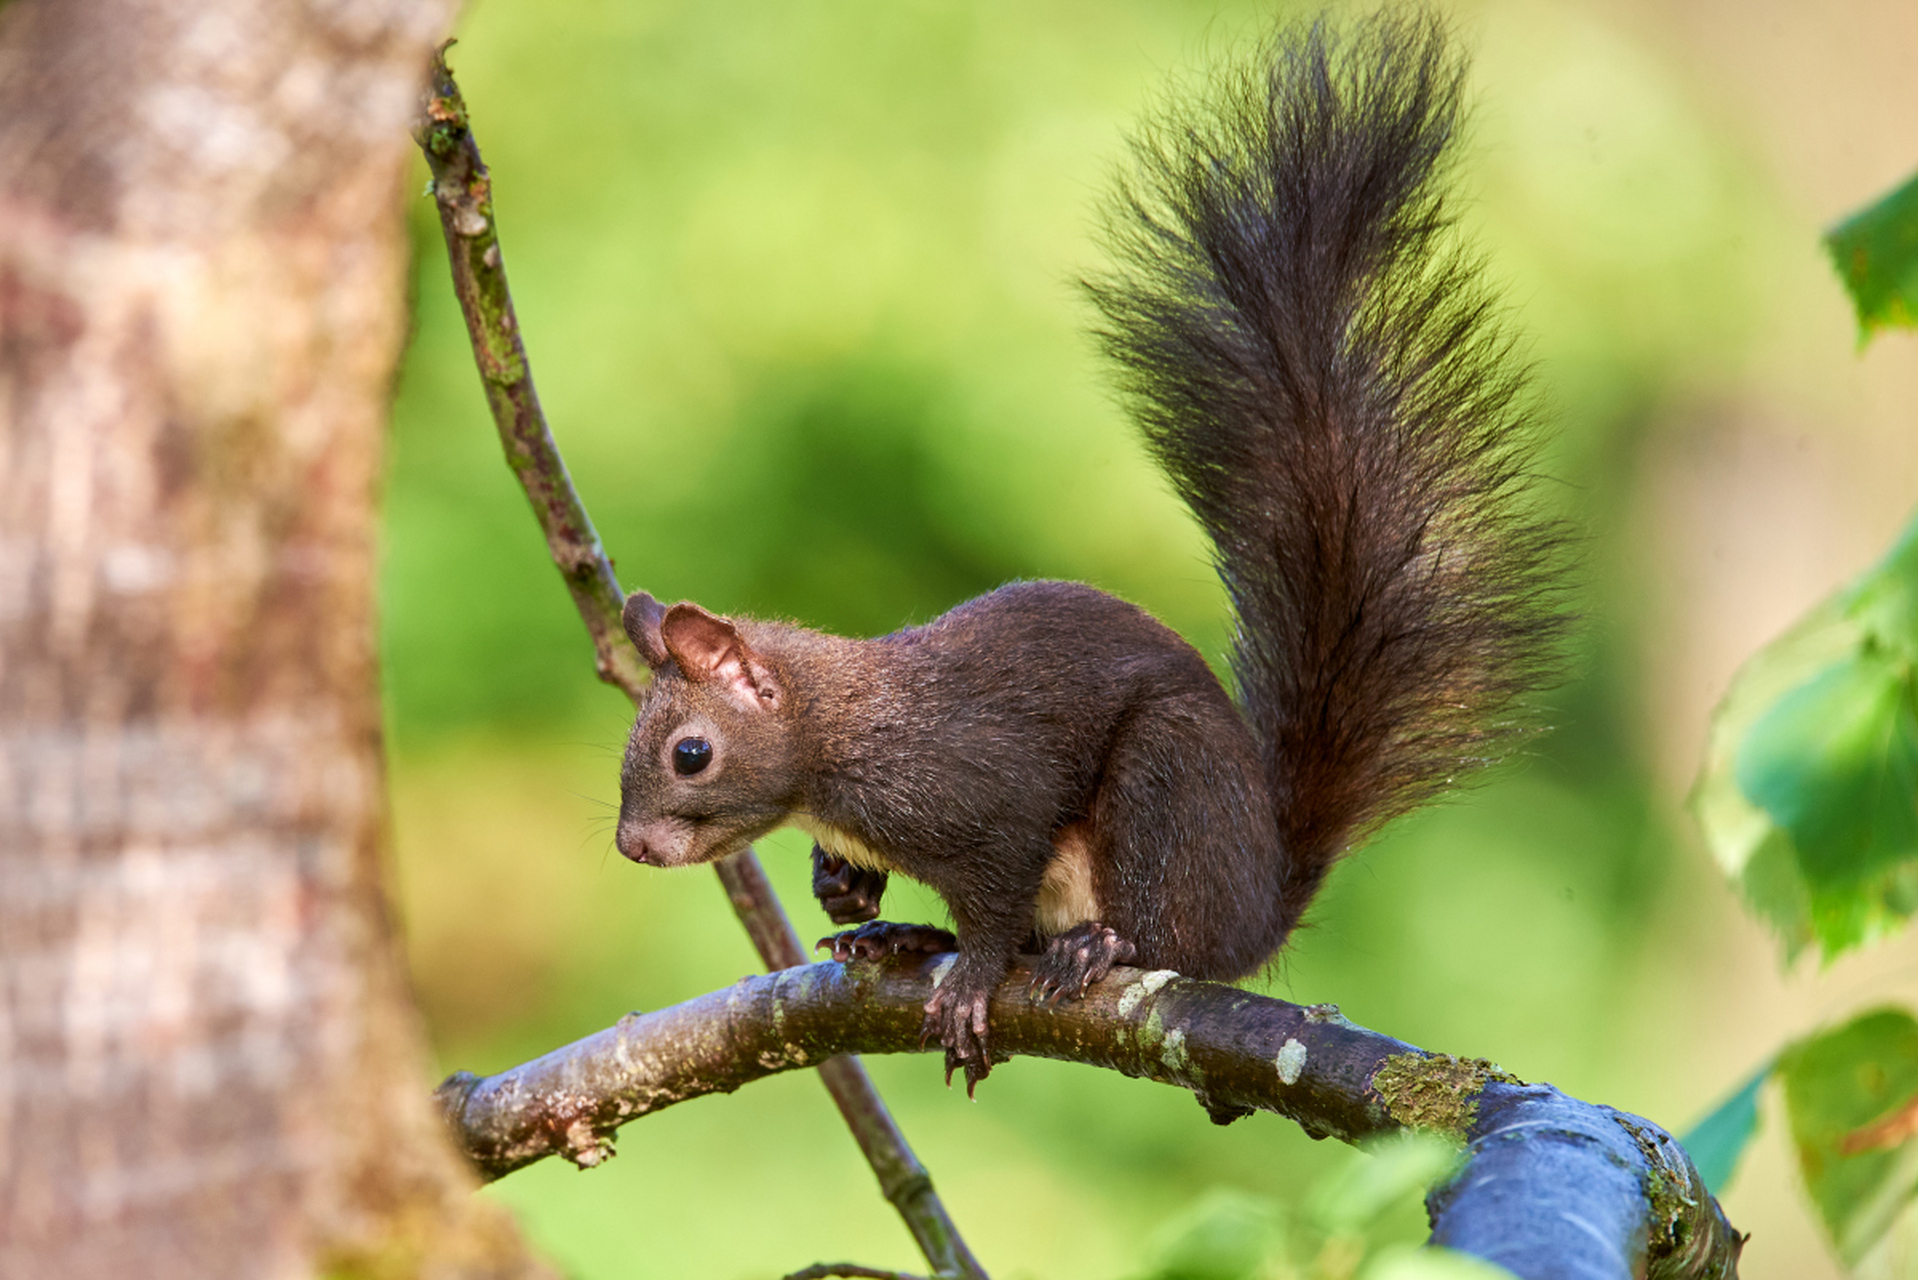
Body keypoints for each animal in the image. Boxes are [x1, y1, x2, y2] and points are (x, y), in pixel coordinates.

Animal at [614, 11, 1568, 1093]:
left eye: (691, 753)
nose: (633, 846)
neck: (838, 736)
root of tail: (1260, 901)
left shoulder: (984, 791)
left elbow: (997, 891)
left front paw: (969, 977)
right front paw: (846, 888)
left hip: (1168, 786)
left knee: (1169, 938)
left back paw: (1092, 946)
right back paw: (905, 935)